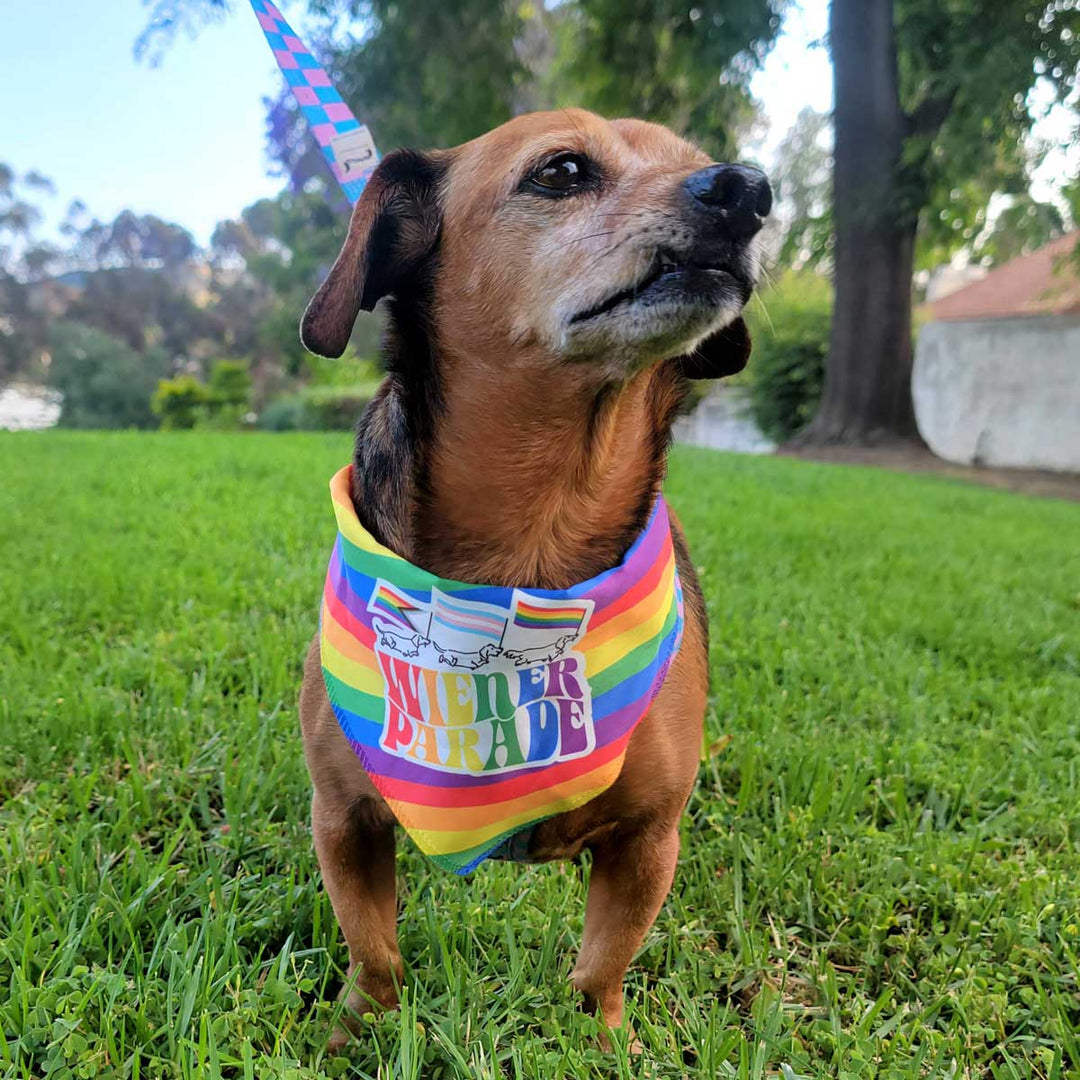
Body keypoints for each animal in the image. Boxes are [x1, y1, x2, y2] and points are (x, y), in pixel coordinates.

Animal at [295, 105, 768, 1041]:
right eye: (562, 171)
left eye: (699, 160)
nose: (749, 191)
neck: (535, 542)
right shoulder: (345, 820)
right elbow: (375, 953)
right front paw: (359, 1030)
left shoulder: (648, 840)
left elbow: (602, 967)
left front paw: (605, 1040)